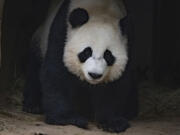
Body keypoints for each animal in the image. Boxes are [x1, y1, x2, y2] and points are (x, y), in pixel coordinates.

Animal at [22, 0, 138, 133]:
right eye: (86, 52)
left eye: (108, 55)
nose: (94, 75)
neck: (101, 10)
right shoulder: (62, 33)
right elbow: (56, 74)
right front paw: (67, 118)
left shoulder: (129, 44)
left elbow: (115, 86)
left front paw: (112, 122)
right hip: (39, 40)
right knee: (34, 70)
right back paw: (32, 106)